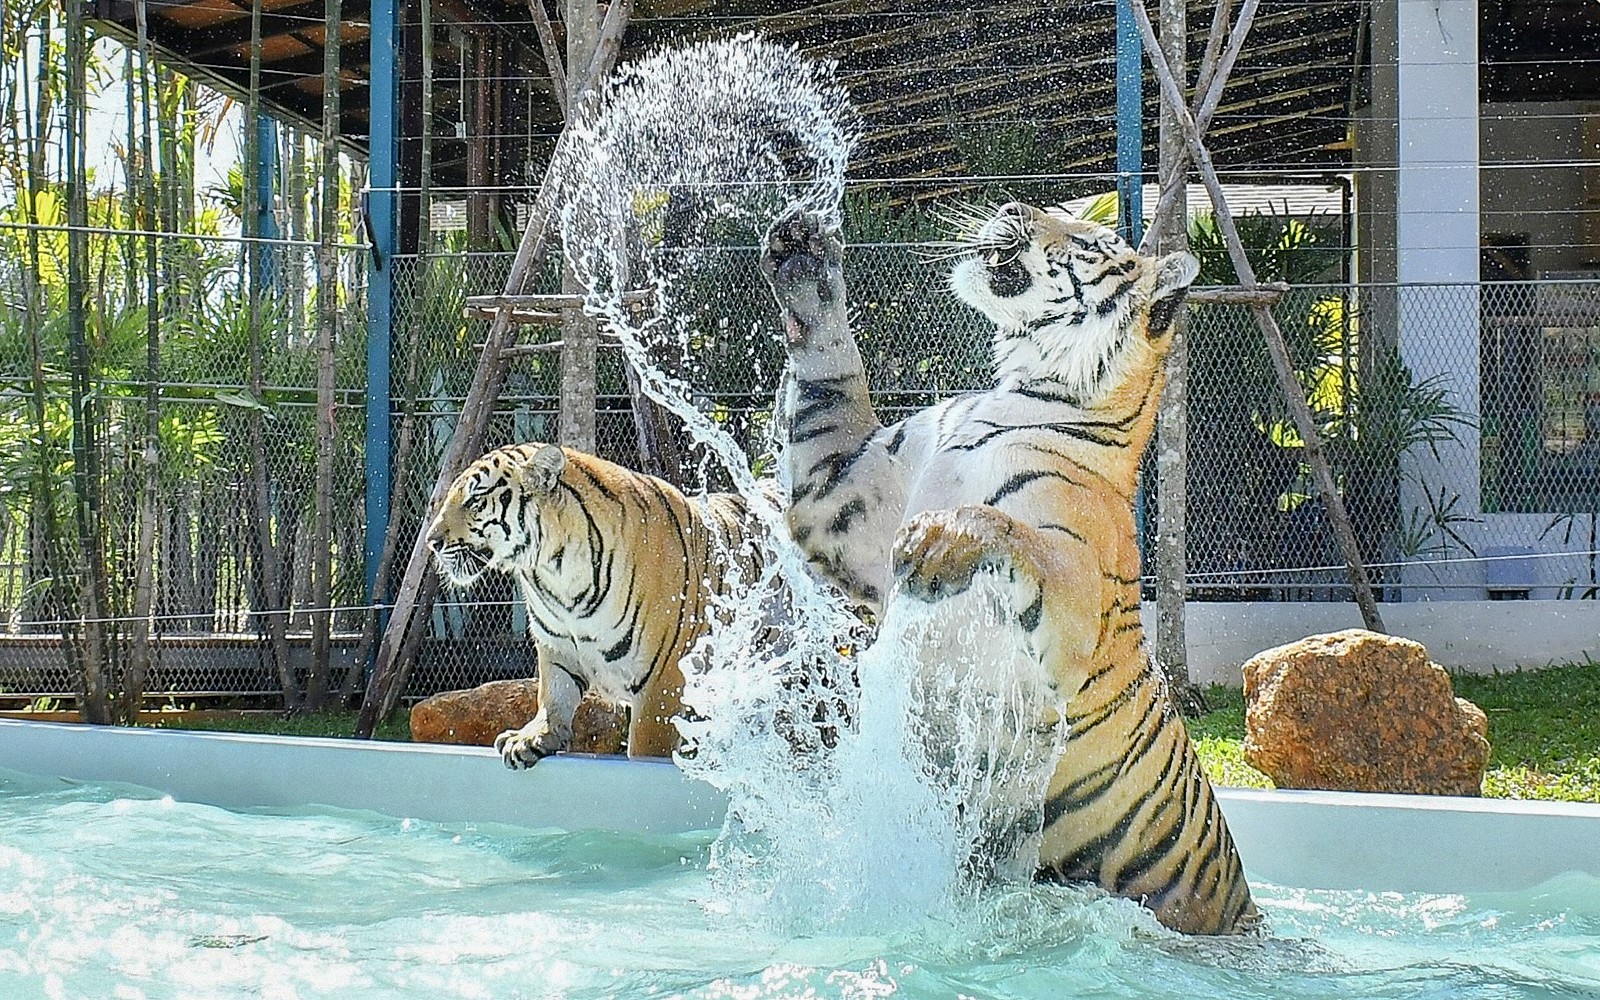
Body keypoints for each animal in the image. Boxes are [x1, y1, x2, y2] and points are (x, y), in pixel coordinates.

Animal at [425, 442, 765, 768]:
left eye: (475, 501)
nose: (431, 541)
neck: (555, 573)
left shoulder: (662, 679)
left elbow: (647, 747)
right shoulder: (556, 646)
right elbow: (553, 695)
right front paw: (531, 737)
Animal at [759, 203, 1259, 935]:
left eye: (1086, 239)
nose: (1011, 208)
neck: (1016, 394)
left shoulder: (1073, 599)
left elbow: (1019, 537)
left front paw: (941, 540)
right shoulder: (841, 498)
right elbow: (829, 381)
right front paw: (805, 258)